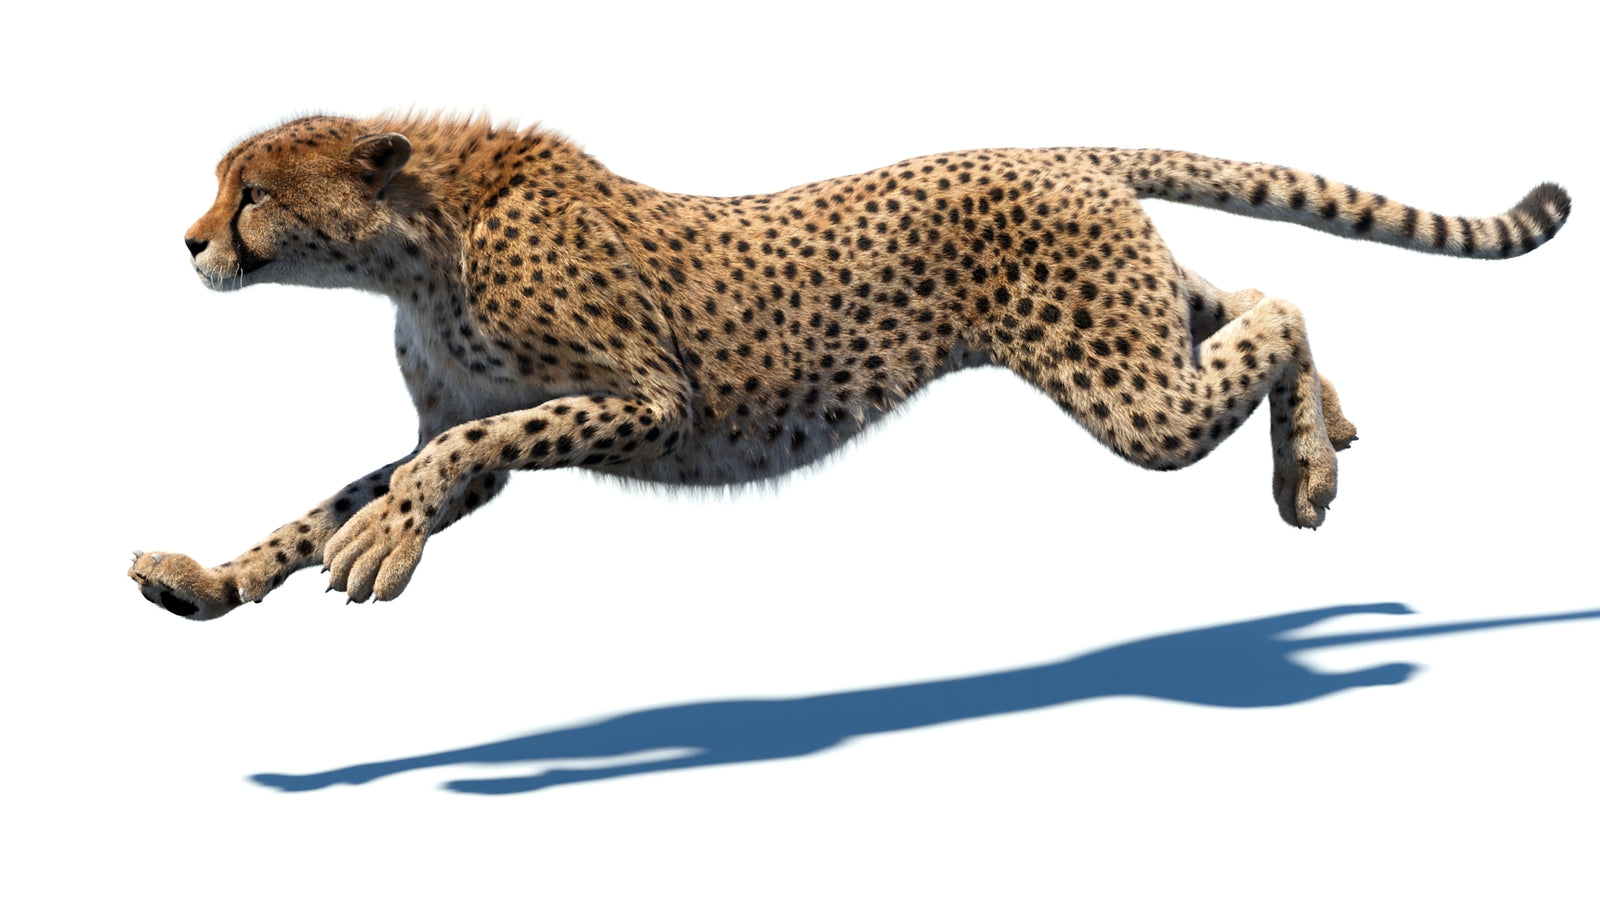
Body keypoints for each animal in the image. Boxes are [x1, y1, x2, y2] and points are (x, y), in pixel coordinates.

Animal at [128, 113, 1571, 620]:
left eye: (252, 193)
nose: (190, 241)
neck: (419, 243)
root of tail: (1060, 147)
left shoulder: (646, 400)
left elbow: (452, 456)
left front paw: (380, 545)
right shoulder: (490, 417)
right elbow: (351, 491)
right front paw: (214, 579)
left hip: (1126, 385)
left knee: (1272, 304)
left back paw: (1306, 465)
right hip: (1135, 317)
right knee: (1254, 297)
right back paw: (1322, 438)